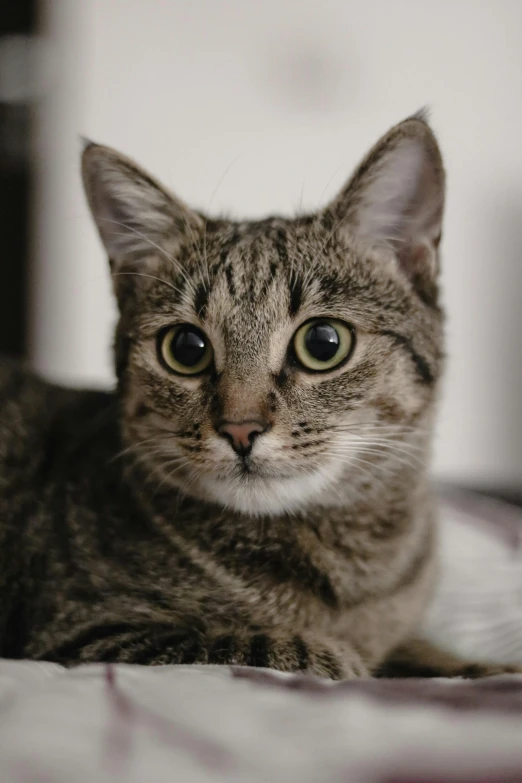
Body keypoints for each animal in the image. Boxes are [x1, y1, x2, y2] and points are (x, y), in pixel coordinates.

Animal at [0, 110, 516, 680]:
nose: (240, 428)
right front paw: (347, 658)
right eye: (186, 348)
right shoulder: (84, 633)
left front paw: (486, 667)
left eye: (323, 342)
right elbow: (288, 649)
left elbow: (428, 652)